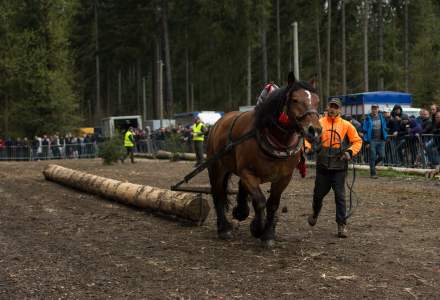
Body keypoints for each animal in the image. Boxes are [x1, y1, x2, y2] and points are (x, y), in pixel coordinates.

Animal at [206, 72, 320, 246]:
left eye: (316, 100)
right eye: (295, 100)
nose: (315, 130)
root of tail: (218, 123)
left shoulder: (284, 177)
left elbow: (272, 204)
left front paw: (268, 234)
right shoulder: (247, 173)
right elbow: (259, 201)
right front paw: (258, 228)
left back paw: (241, 211)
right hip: (216, 168)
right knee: (217, 193)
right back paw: (224, 228)